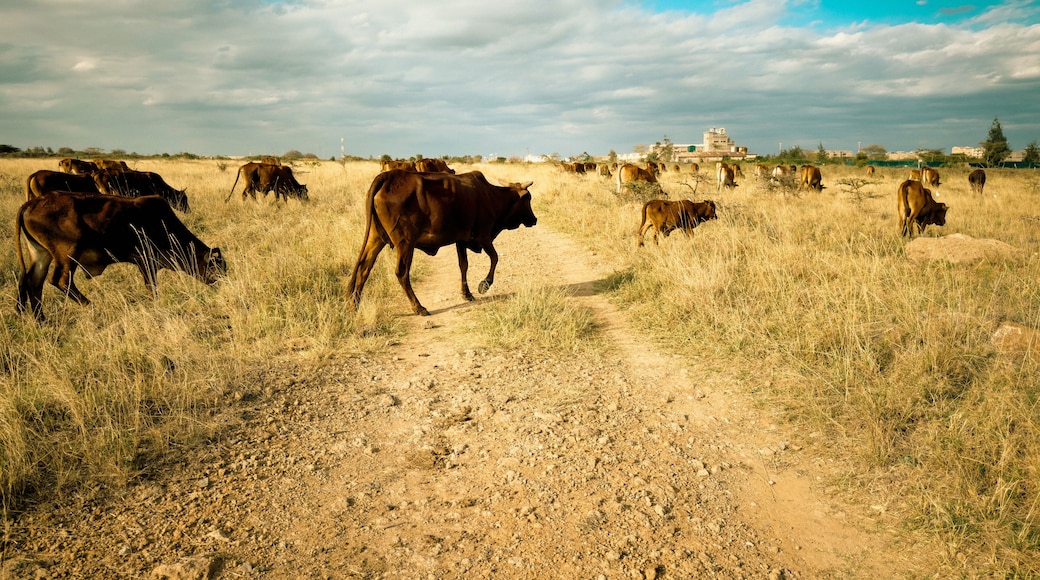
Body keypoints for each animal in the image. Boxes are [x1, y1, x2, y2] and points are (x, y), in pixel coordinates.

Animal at [15, 192, 226, 320]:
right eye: (214, 266)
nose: (221, 283)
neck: (162, 224)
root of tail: (32, 203)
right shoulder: (146, 261)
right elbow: (152, 288)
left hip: (41, 254)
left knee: (34, 281)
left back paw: (41, 320)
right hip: (68, 255)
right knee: (60, 280)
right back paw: (91, 306)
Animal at [346, 169, 537, 316]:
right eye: (528, 199)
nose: (534, 219)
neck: (491, 196)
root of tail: (388, 176)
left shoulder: (461, 239)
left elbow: (463, 265)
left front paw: (467, 293)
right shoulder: (484, 236)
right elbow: (495, 258)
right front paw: (484, 285)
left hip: (376, 238)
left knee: (364, 267)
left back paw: (354, 306)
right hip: (405, 243)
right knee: (401, 273)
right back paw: (418, 307)